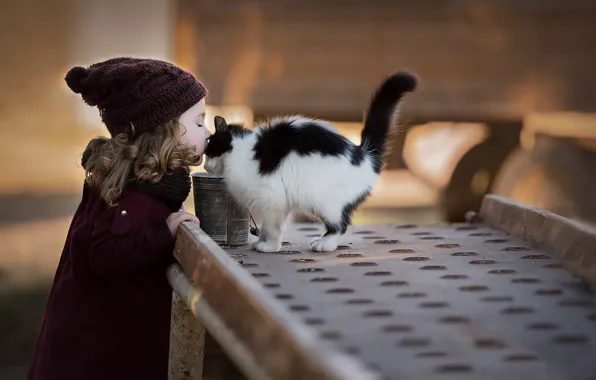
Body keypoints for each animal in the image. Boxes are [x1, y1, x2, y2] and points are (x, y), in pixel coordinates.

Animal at [205, 72, 420, 254]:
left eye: (209, 151)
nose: (205, 165)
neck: (241, 151)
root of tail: (365, 154)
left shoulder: (272, 199)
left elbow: (272, 226)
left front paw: (269, 246)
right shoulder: (281, 202)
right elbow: (268, 226)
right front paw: (262, 241)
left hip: (324, 201)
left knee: (340, 225)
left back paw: (324, 244)